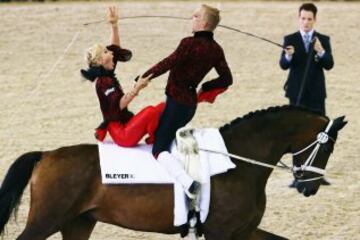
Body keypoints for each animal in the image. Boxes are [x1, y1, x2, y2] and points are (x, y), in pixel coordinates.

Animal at [0, 106, 348, 240]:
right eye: (327, 149)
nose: (310, 187)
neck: (239, 163)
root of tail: (46, 155)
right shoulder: (220, 232)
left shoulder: (244, 231)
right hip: (47, 220)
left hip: (78, 222)